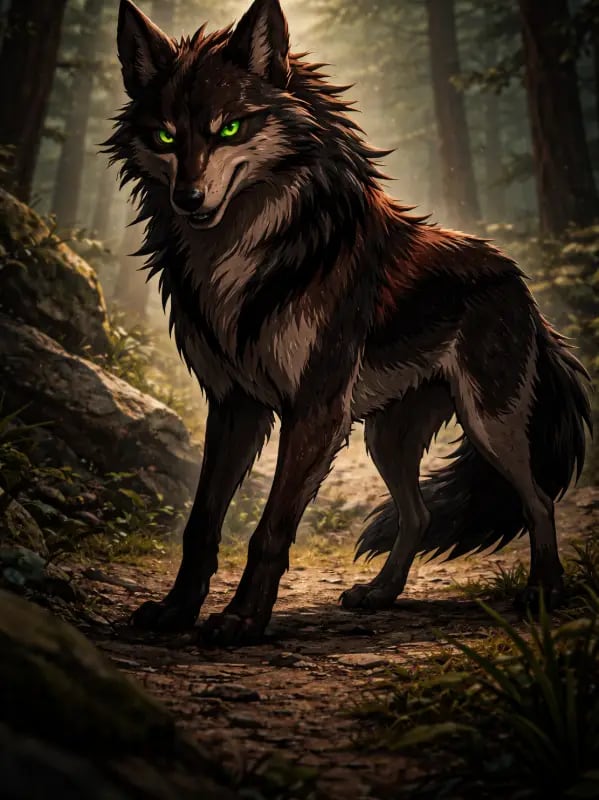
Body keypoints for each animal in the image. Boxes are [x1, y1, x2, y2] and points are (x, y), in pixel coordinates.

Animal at [108, 0, 591, 645]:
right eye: (165, 136)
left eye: (229, 129)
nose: (187, 198)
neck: (242, 259)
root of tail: (519, 283)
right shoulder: (235, 405)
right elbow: (201, 522)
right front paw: (176, 611)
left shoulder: (315, 410)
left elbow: (268, 530)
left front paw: (242, 620)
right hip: (386, 438)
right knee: (419, 512)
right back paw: (381, 593)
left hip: (490, 425)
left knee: (538, 500)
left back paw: (543, 592)